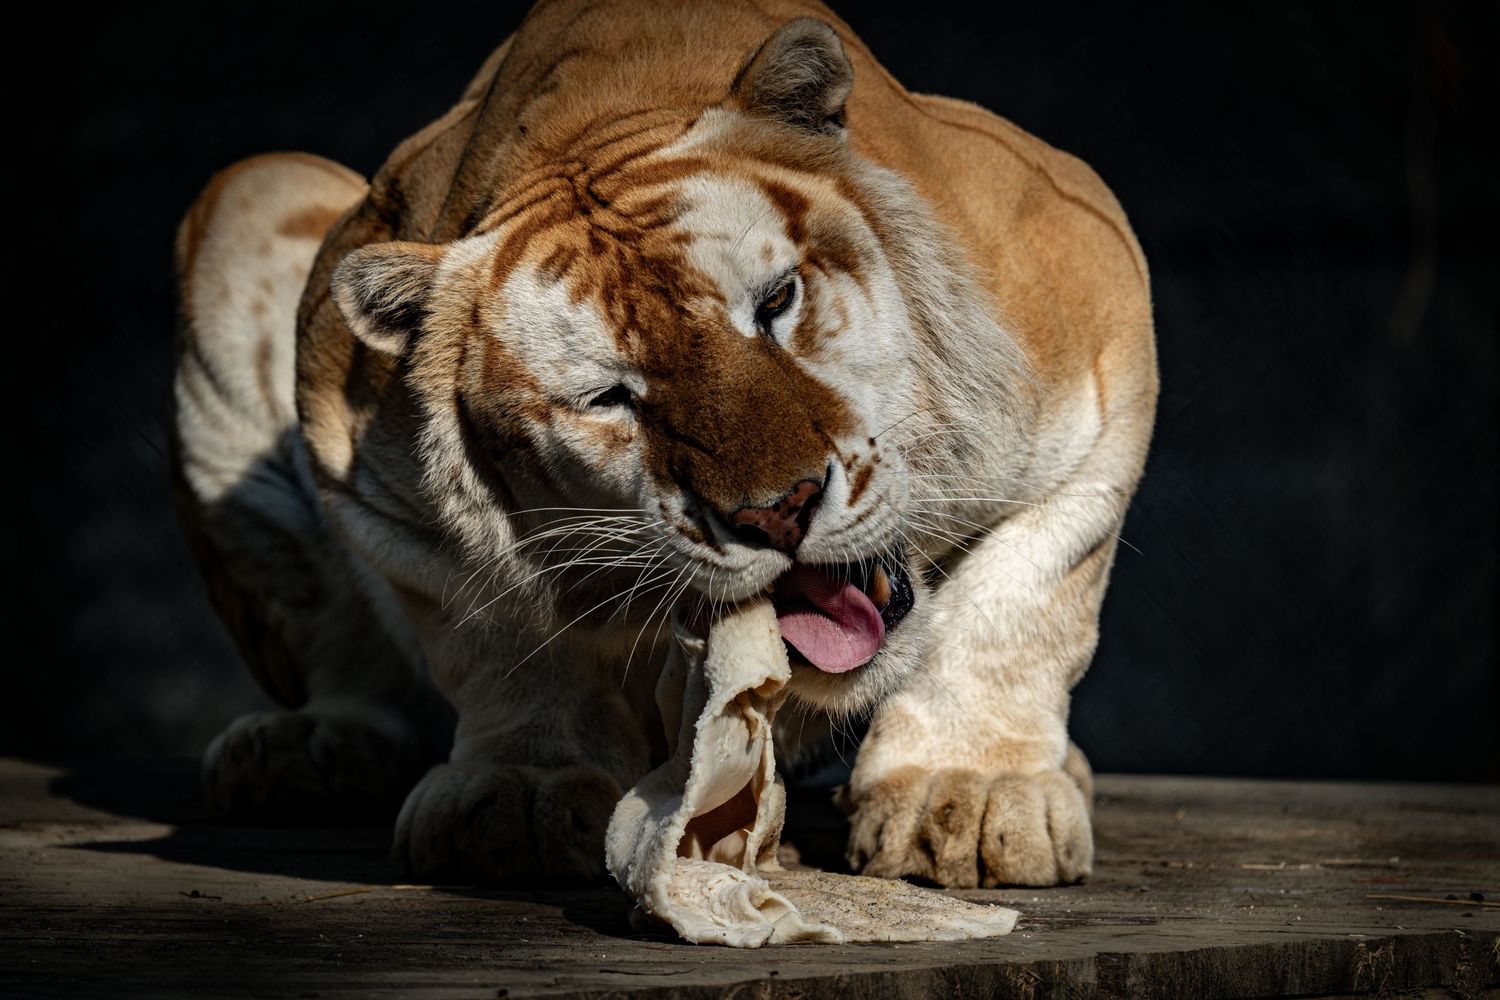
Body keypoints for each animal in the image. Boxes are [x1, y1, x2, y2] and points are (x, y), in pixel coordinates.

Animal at [171, 0, 1157, 889]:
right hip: (251, 189)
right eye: (610, 397)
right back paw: (307, 749)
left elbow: (1017, 601)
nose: (780, 511)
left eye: (776, 303)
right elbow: (500, 630)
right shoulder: (366, 461)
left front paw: (968, 796)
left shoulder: (1097, 331)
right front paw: (521, 797)